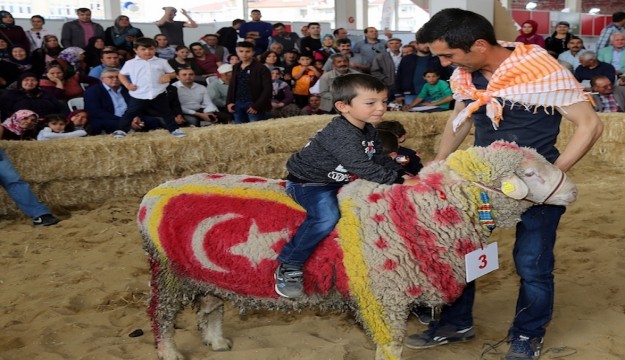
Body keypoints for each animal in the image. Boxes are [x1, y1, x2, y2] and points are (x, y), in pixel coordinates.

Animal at [140, 141, 576, 360]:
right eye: (530, 173)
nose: (572, 191)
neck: (417, 211)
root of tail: (154, 191)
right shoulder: (383, 297)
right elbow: (390, 346)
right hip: (169, 274)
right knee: (162, 317)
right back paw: (170, 353)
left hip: (203, 272)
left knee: (211, 306)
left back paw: (216, 343)